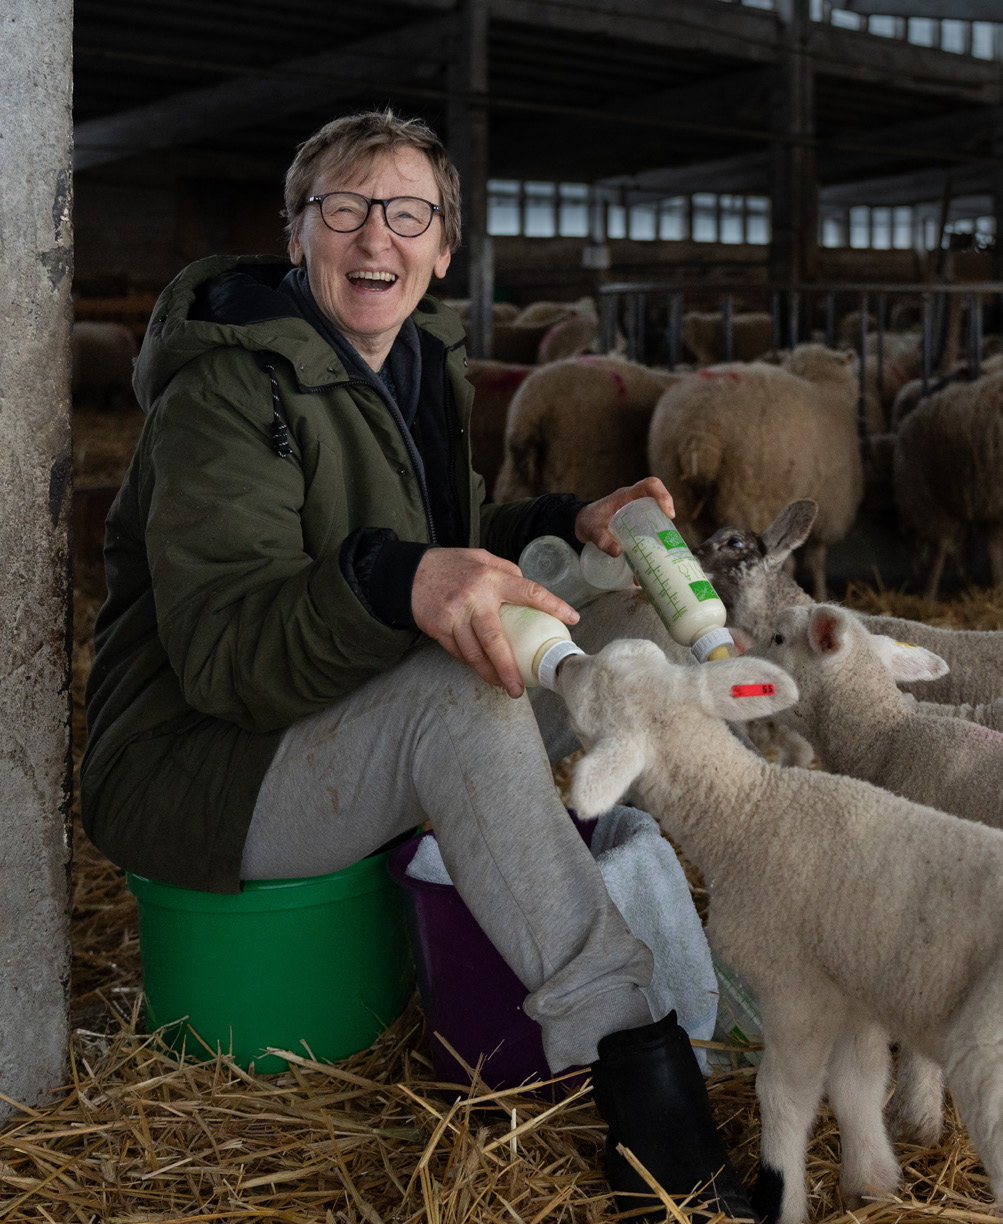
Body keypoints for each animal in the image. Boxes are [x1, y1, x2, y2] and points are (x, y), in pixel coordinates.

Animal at [555, 641, 1003, 1224]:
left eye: (592, 697)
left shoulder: (794, 987)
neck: (750, 813)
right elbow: (857, 1084)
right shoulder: (847, 985)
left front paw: (782, 1195)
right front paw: (871, 1185)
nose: (562, 663)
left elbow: (785, 1095)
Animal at [646, 342, 867, 599]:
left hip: (677, 494)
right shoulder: (831, 508)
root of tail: (701, 431)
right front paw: (821, 594)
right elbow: (816, 560)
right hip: (752, 499)